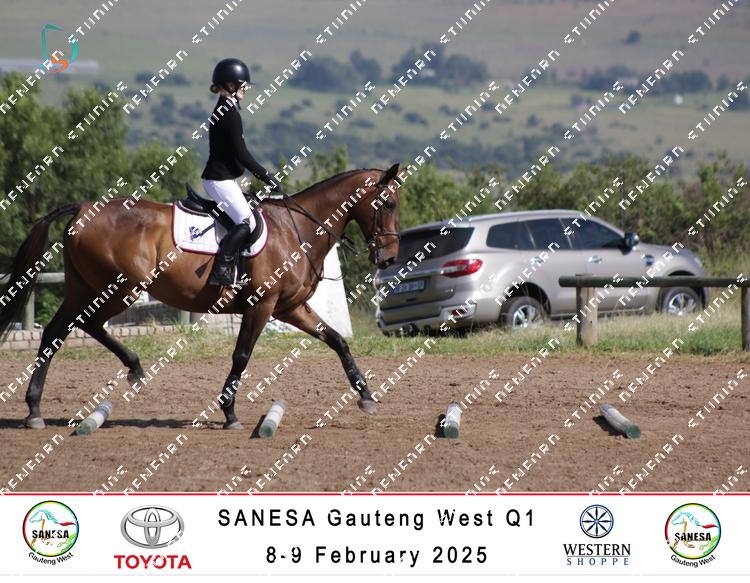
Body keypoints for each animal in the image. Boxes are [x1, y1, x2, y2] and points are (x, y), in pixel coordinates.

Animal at [0, 164, 402, 430]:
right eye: (388, 204)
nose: (389, 258)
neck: (297, 229)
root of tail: (83, 208)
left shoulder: (290, 307)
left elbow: (337, 341)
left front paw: (366, 397)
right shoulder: (262, 305)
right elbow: (242, 356)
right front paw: (229, 413)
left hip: (88, 287)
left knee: (58, 331)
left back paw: (37, 408)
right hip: (118, 288)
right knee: (82, 324)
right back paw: (124, 372)